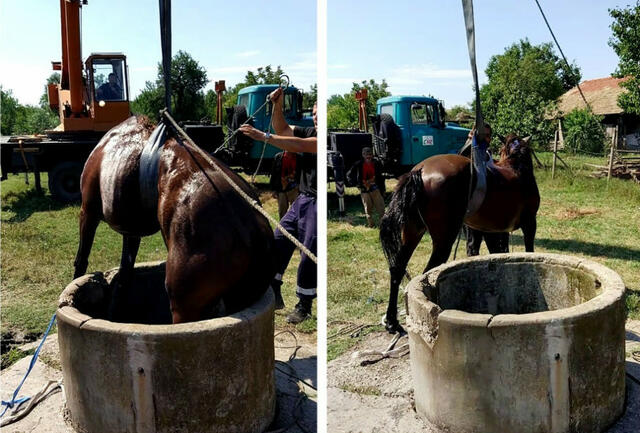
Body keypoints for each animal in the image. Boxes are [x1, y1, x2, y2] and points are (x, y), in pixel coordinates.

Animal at [75, 116, 276, 322]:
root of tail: (253, 231)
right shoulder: (131, 232)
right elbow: (124, 275)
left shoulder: (88, 211)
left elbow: (81, 260)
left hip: (183, 305)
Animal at [380, 135, 540, 334]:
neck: (516, 166)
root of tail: (419, 171)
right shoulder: (529, 223)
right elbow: (528, 250)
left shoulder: (490, 232)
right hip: (444, 238)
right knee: (427, 272)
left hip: (412, 231)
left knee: (397, 269)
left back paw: (392, 321)